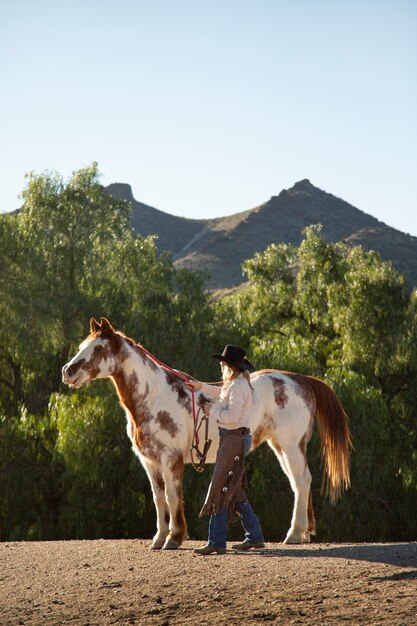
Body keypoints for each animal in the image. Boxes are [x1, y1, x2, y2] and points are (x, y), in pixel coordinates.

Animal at [61, 316, 352, 544]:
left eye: (99, 348)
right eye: (82, 346)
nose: (67, 371)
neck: (154, 396)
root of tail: (301, 380)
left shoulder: (170, 459)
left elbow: (172, 496)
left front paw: (174, 537)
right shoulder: (150, 462)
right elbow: (158, 498)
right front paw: (159, 538)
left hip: (291, 445)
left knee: (302, 481)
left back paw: (293, 534)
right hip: (280, 447)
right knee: (298, 482)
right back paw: (303, 532)